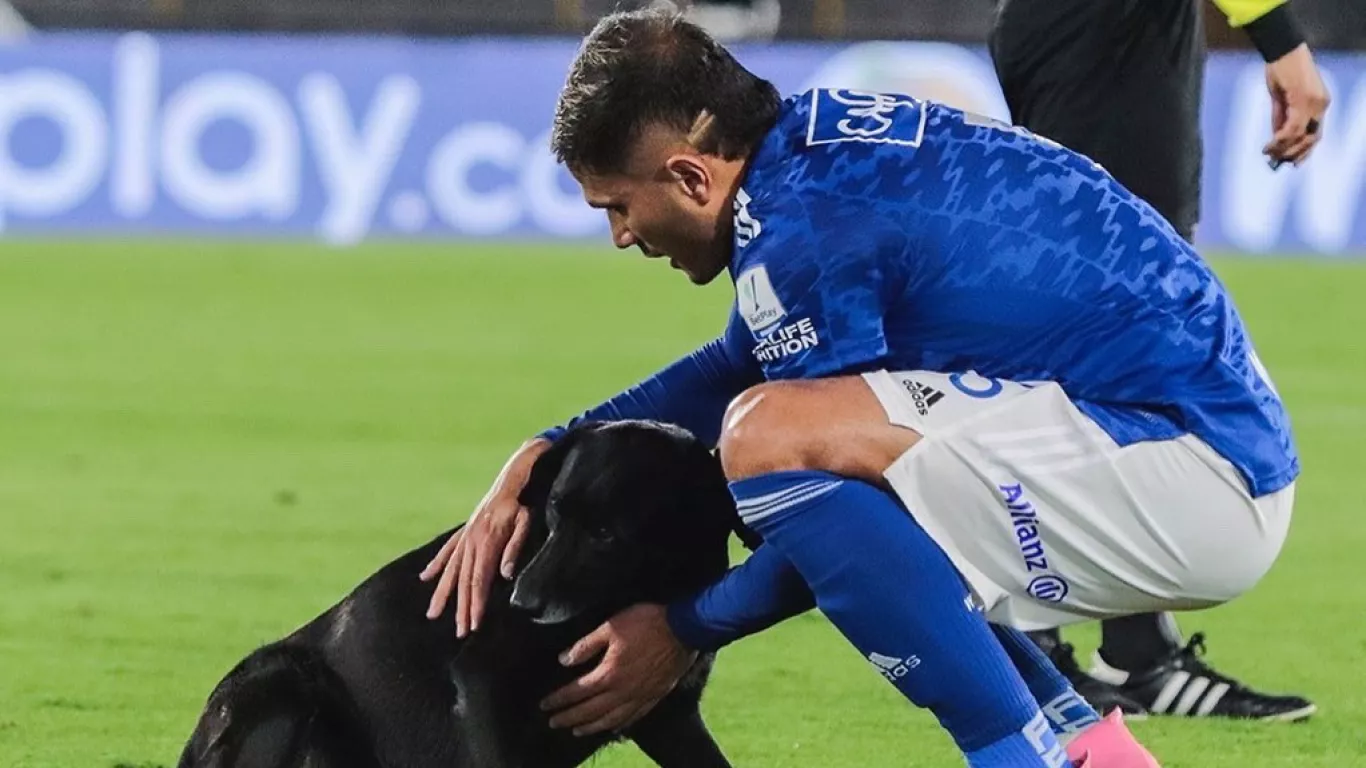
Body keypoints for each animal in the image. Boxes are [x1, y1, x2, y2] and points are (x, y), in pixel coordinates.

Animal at [178, 420, 748, 759]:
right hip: (284, 679)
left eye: (606, 533)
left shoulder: (667, 717)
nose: (523, 601)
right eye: (556, 511)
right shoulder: (484, 687)